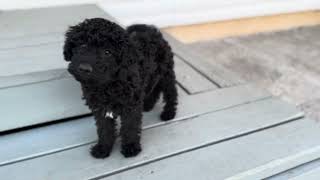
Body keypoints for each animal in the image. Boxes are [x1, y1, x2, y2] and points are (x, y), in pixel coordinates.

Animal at [62, 18, 178, 158]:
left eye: (107, 52)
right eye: (82, 45)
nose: (85, 68)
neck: (108, 83)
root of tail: (152, 30)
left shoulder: (131, 106)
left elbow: (129, 127)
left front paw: (130, 147)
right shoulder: (100, 108)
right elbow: (104, 129)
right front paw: (103, 148)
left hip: (167, 73)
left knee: (171, 92)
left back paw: (169, 113)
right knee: (154, 88)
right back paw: (148, 105)